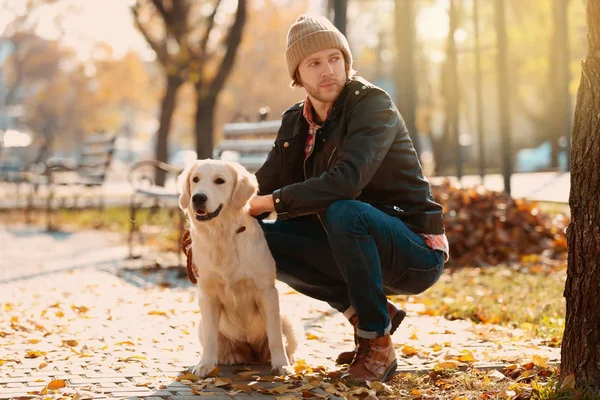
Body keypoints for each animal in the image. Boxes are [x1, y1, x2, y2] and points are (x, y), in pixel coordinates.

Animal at [180, 158, 298, 376]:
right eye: (195, 179)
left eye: (220, 180)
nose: (198, 197)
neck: (222, 235)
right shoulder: (207, 295)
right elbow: (210, 337)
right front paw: (205, 364)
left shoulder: (267, 292)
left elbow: (275, 336)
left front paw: (282, 365)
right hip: (200, 324)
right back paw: (231, 357)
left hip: (288, 319)